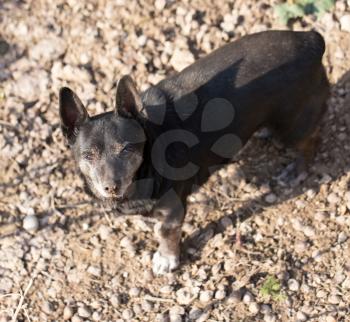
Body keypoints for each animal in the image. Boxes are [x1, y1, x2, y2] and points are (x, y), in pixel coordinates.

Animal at [58, 30, 330, 276]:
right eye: (88, 156)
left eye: (126, 149)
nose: (111, 187)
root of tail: (312, 40)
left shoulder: (173, 212)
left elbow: (166, 233)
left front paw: (166, 259)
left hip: (292, 127)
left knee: (312, 140)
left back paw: (296, 171)